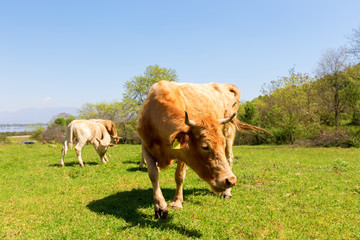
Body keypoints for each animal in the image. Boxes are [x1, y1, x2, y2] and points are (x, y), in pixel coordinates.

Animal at [139, 81, 248, 219]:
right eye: (204, 146)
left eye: (221, 144)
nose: (230, 180)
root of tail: (223, 85)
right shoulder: (146, 147)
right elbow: (153, 174)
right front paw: (159, 206)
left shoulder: (183, 155)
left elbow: (179, 176)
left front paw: (177, 202)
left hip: (229, 133)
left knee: (229, 159)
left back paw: (227, 193)